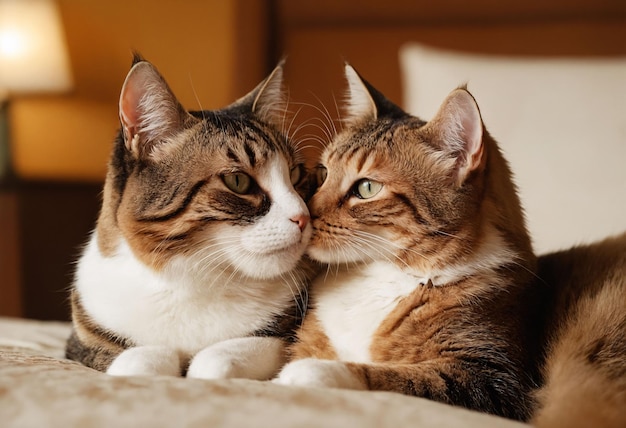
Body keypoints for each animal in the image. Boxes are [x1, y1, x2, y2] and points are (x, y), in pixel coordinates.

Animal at [66, 55, 314, 380]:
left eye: (296, 175)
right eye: (238, 181)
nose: (304, 217)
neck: (191, 279)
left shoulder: (286, 334)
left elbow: (217, 359)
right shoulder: (82, 342)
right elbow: (135, 359)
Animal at [274, 63, 624, 424]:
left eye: (367, 188)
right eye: (323, 171)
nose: (307, 213)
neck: (380, 277)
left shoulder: (496, 380)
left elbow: (395, 376)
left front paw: (311, 372)